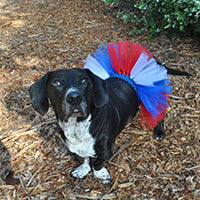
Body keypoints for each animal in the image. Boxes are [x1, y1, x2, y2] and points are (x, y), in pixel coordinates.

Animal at [28, 41, 191, 184]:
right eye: (56, 83)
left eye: (85, 81)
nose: (74, 98)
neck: (78, 127)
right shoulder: (73, 147)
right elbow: (83, 160)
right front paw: (82, 170)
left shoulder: (107, 149)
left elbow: (98, 163)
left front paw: (100, 175)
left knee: (159, 114)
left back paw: (159, 131)